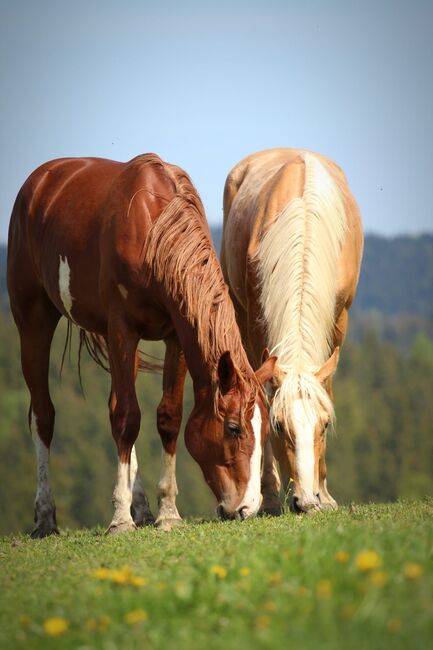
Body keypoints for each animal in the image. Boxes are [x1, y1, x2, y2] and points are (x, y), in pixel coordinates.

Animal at [6, 153, 276, 536]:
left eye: (266, 429)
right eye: (233, 428)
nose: (246, 508)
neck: (154, 231)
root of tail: (40, 179)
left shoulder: (176, 335)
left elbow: (168, 417)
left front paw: (167, 513)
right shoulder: (122, 329)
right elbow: (128, 418)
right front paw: (120, 518)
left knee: (113, 404)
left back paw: (143, 509)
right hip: (33, 321)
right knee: (43, 415)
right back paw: (45, 518)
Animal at [221, 147, 362, 512]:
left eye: (324, 425)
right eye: (279, 426)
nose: (305, 501)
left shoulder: (340, 318)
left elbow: (327, 389)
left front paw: (325, 494)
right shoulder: (256, 325)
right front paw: (271, 497)